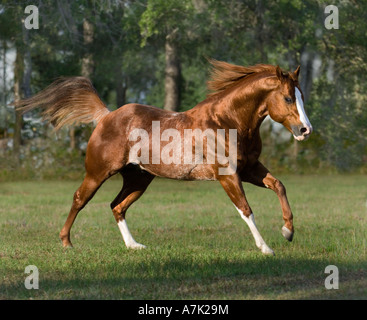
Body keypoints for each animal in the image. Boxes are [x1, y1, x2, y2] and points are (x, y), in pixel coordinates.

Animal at [15, 59, 312, 255]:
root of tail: (106, 116)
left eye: (301, 96)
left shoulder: (250, 169)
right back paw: (66, 242)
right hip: (98, 172)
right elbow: (246, 210)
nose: (305, 130)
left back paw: (134, 245)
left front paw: (288, 231)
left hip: (138, 179)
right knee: (80, 199)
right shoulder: (228, 175)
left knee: (117, 206)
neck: (227, 122)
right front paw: (266, 248)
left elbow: (279, 186)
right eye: (288, 98)